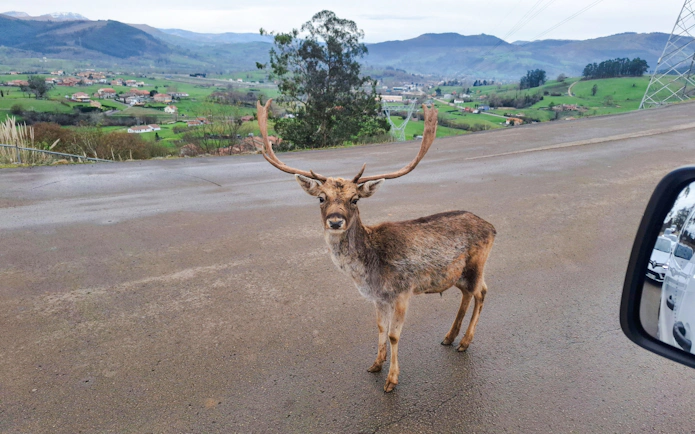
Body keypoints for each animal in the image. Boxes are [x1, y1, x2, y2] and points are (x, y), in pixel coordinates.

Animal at [257, 99, 496, 392]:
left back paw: (464, 342)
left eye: (355, 199)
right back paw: (449, 337)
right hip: (457, 275)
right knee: (468, 293)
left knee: (481, 292)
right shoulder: (379, 297)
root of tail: (492, 227)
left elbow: (394, 334)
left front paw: (392, 380)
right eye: (321, 198)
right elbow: (381, 329)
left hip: (477, 264)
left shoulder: (403, 290)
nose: (335, 221)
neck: (369, 270)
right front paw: (375, 365)